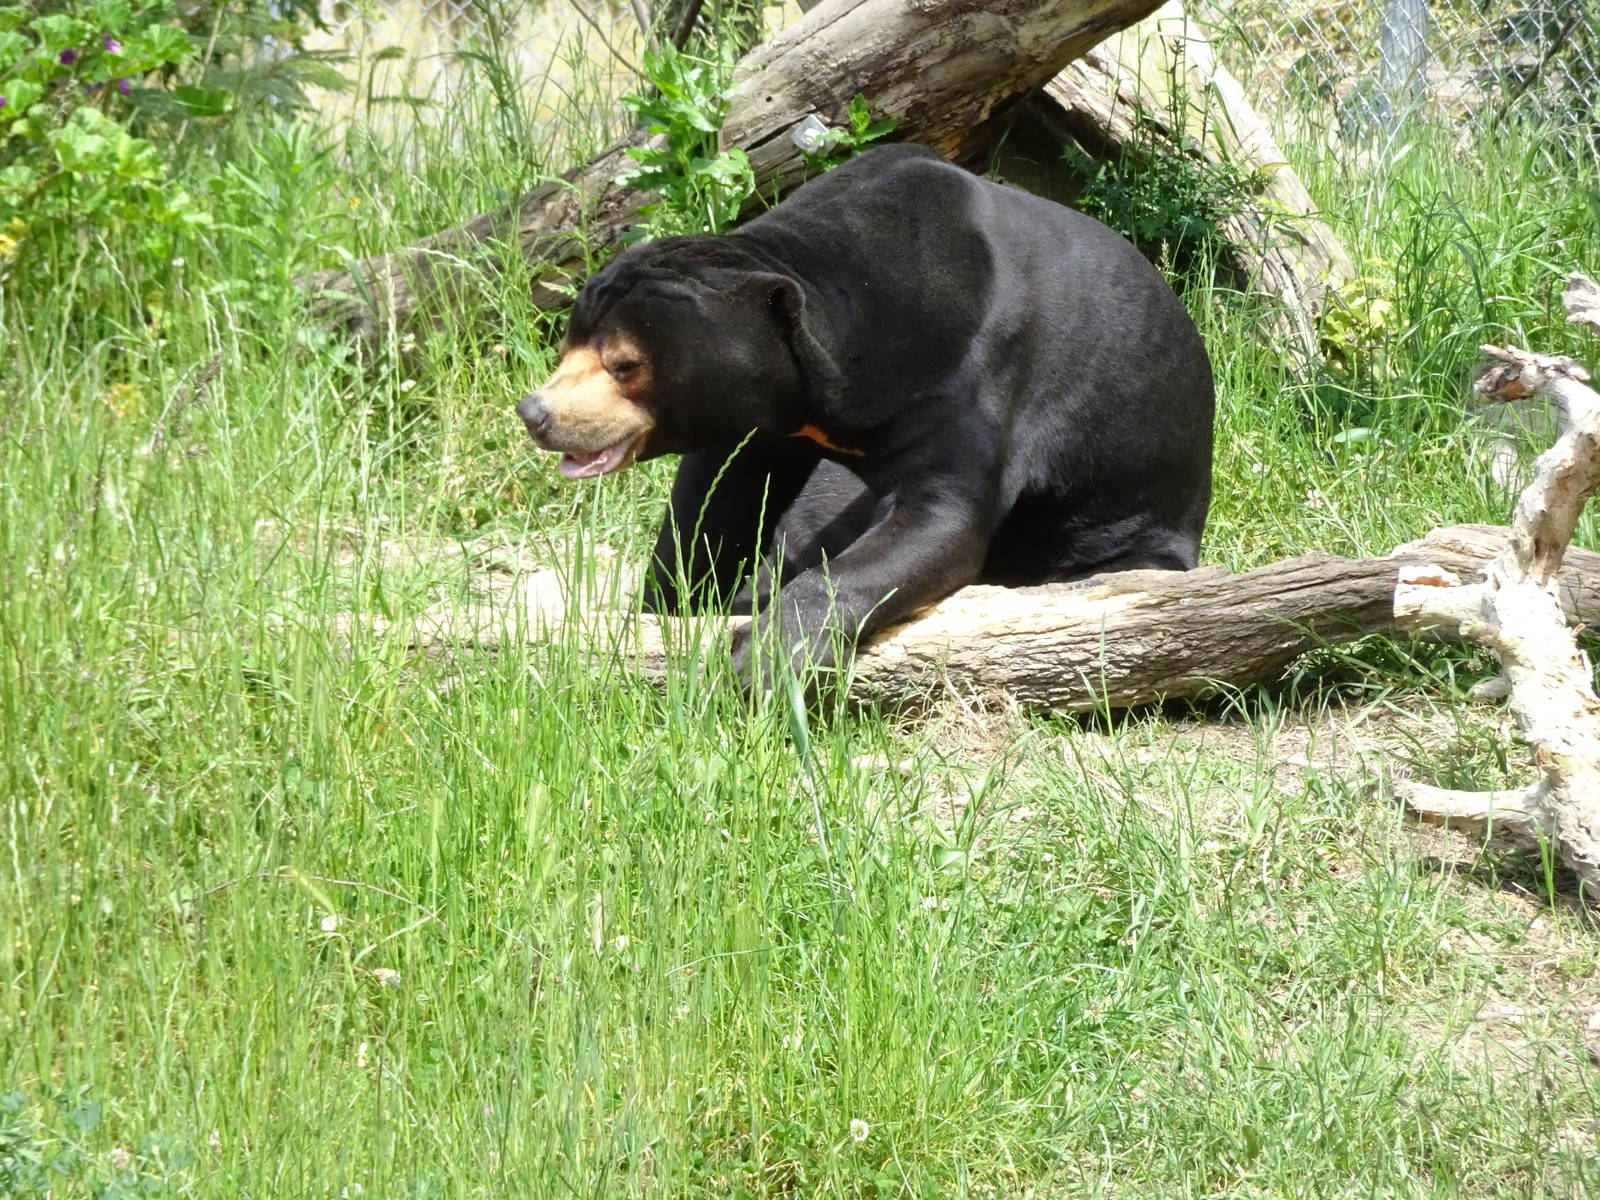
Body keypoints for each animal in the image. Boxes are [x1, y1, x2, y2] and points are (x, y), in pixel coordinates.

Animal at [517, 143, 1214, 685]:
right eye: (569, 343)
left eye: (625, 365)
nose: (535, 412)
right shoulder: (763, 427)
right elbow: (712, 498)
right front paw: (681, 604)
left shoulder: (971, 380)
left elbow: (937, 521)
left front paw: (765, 659)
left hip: (1130, 520)